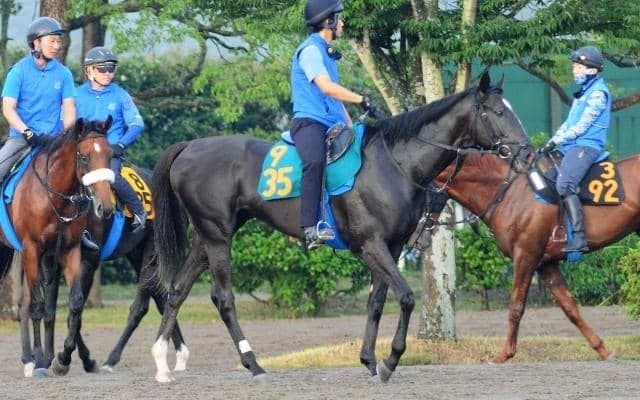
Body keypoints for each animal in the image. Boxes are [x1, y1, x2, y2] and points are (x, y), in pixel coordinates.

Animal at [0, 117, 115, 377]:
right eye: (84, 157)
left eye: (110, 154)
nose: (105, 206)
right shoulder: (32, 249)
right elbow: (37, 306)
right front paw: (42, 362)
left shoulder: (68, 251)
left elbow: (75, 302)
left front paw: (62, 359)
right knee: (28, 304)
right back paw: (32, 360)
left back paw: (30, 359)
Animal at [149, 71, 532, 383]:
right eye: (498, 112)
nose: (527, 154)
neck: (393, 163)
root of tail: (189, 147)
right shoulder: (371, 245)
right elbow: (406, 297)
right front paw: (391, 360)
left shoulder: (390, 247)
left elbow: (376, 301)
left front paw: (369, 360)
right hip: (218, 236)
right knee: (223, 297)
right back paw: (252, 363)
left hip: (206, 238)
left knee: (178, 290)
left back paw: (162, 364)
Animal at [425, 149, 636, 363]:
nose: (419, 236)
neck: (509, 193)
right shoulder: (546, 264)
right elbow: (569, 307)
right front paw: (603, 350)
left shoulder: (526, 256)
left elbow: (516, 306)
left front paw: (505, 354)